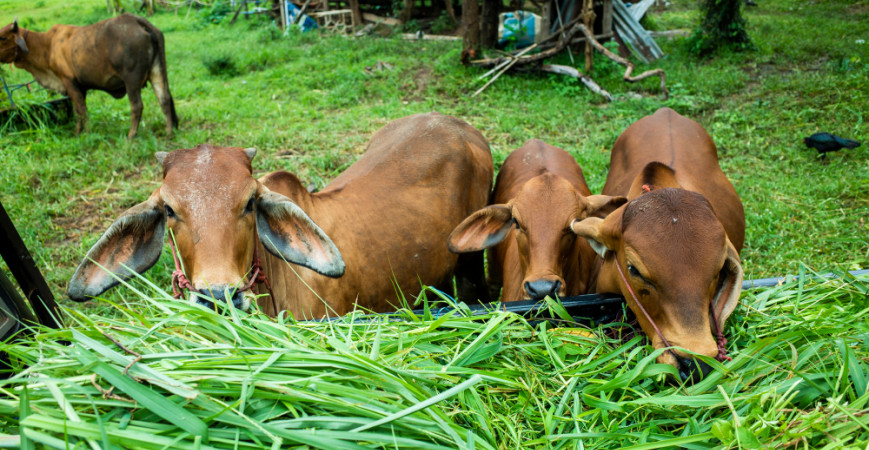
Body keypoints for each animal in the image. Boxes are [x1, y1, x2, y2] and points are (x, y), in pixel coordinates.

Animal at [0, 14, 177, 139]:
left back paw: (131, 135)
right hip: (157, 71)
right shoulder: (80, 87)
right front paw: (80, 131)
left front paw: (84, 133)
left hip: (131, 79)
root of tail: (138, 21)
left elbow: (80, 110)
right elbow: (80, 109)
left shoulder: (68, 81)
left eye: (2, 37)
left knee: (137, 105)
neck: (47, 46)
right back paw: (169, 133)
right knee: (165, 98)